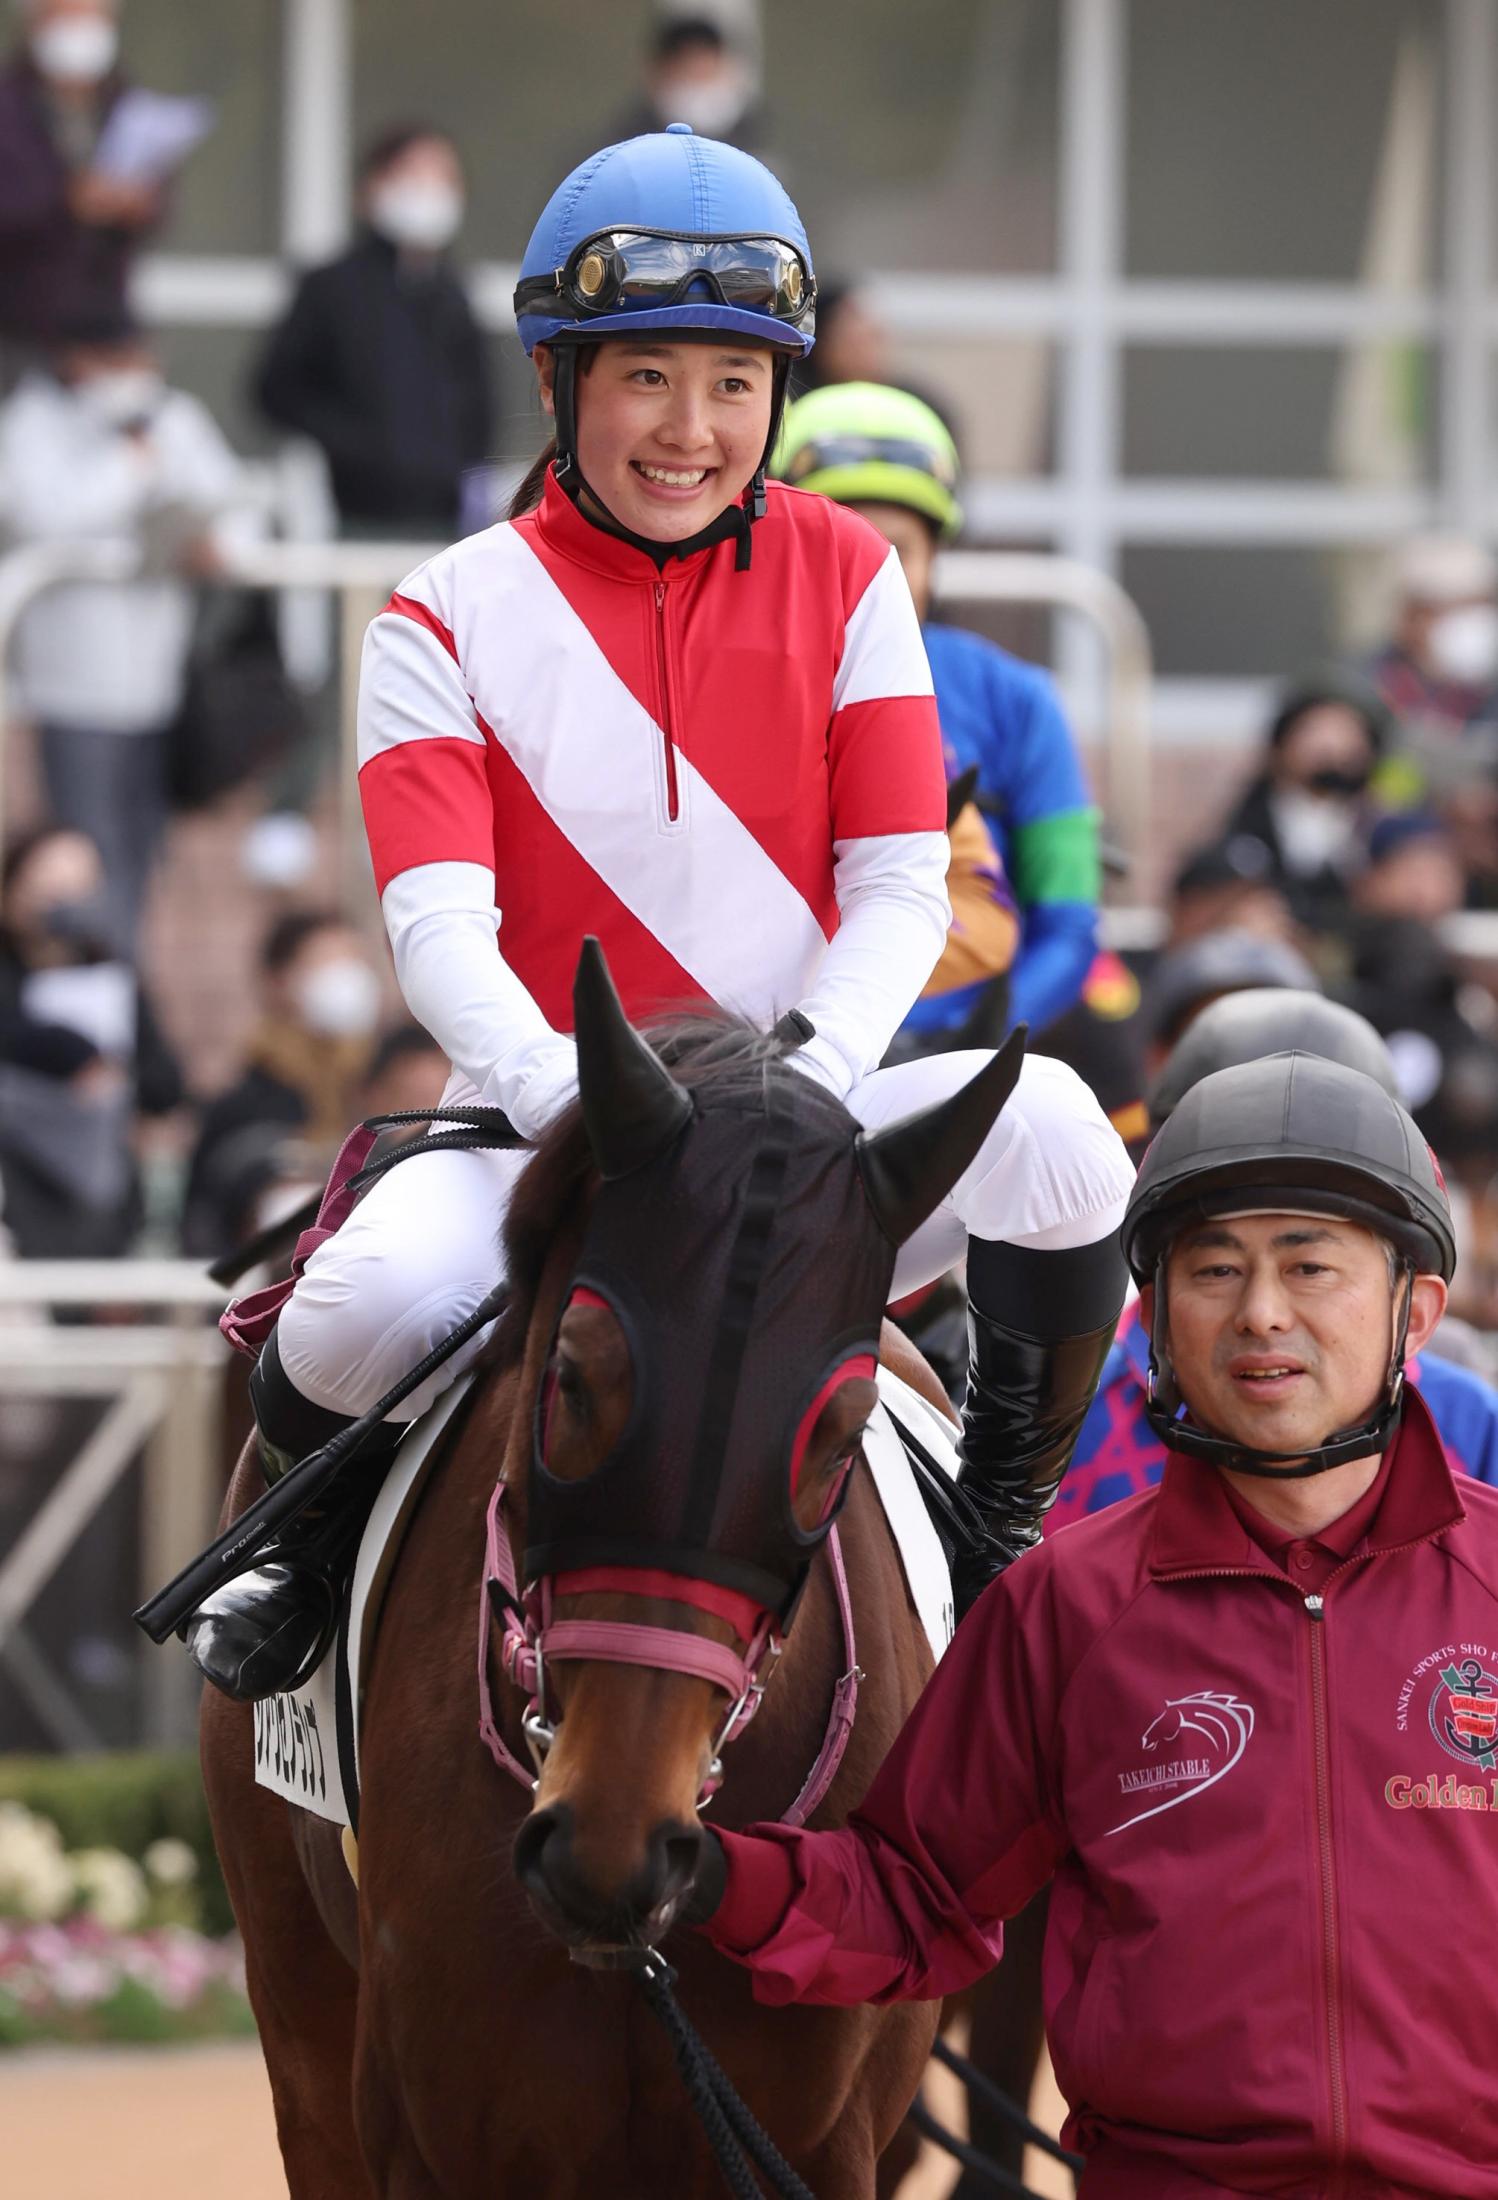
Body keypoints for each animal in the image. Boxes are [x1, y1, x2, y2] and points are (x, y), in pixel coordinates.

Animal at [199, 950, 1016, 2200]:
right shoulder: (430, 2131)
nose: (610, 1848)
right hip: (300, 2021)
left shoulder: (819, 2140)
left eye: (839, 1429)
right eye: (573, 1377)